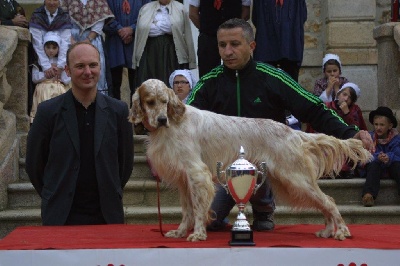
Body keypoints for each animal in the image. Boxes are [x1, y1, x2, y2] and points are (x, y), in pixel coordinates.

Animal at [130, 78, 372, 241]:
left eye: (164, 101)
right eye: (150, 102)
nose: (162, 119)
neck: (174, 124)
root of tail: (293, 133)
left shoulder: (197, 173)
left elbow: (198, 209)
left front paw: (198, 234)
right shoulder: (183, 179)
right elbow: (187, 210)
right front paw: (180, 231)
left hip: (295, 178)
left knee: (328, 201)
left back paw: (341, 231)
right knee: (325, 203)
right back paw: (328, 231)